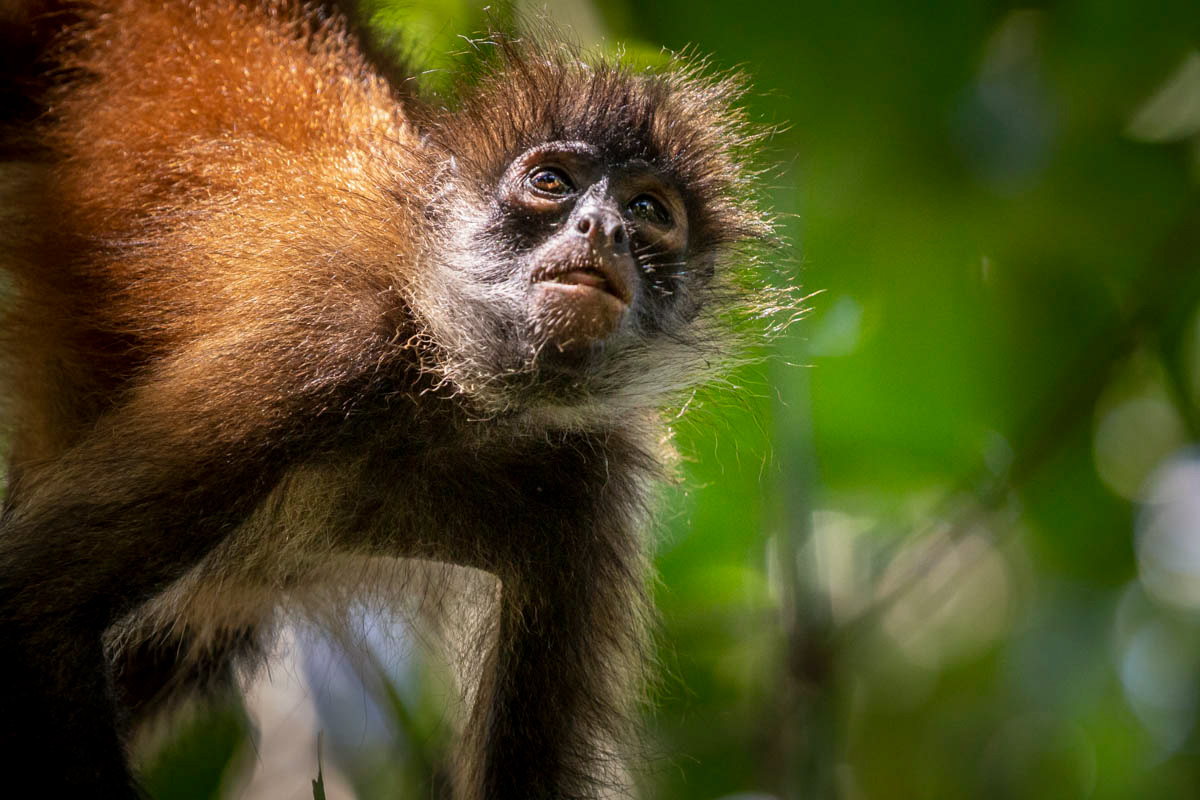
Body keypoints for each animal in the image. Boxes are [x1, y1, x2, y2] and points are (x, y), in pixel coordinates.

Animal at [0, 0, 781, 796]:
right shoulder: (327, 343)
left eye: (649, 209)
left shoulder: (586, 486)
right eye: (552, 183)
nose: (606, 228)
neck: (447, 395)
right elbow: (34, 607)